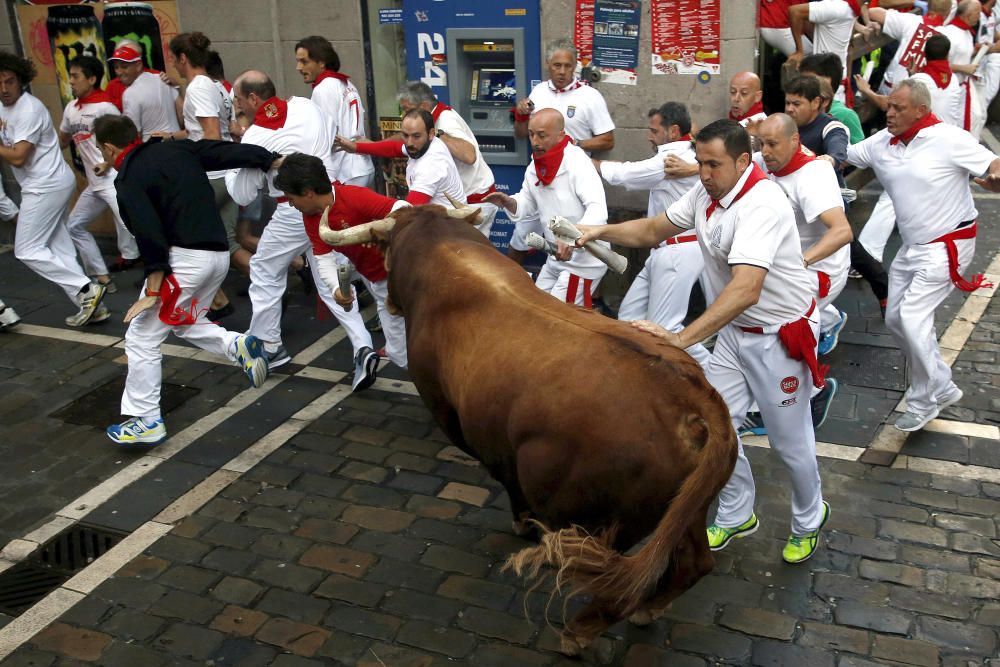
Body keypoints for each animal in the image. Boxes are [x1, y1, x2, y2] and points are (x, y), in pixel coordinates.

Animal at [322, 204, 744, 656]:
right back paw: (649, 609)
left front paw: (522, 523)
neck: (443, 253)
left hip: (607, 519)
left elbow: (508, 481)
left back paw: (577, 633)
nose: (388, 302)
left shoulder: (467, 424)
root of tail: (690, 397)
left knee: (618, 583)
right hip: (687, 509)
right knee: (693, 563)